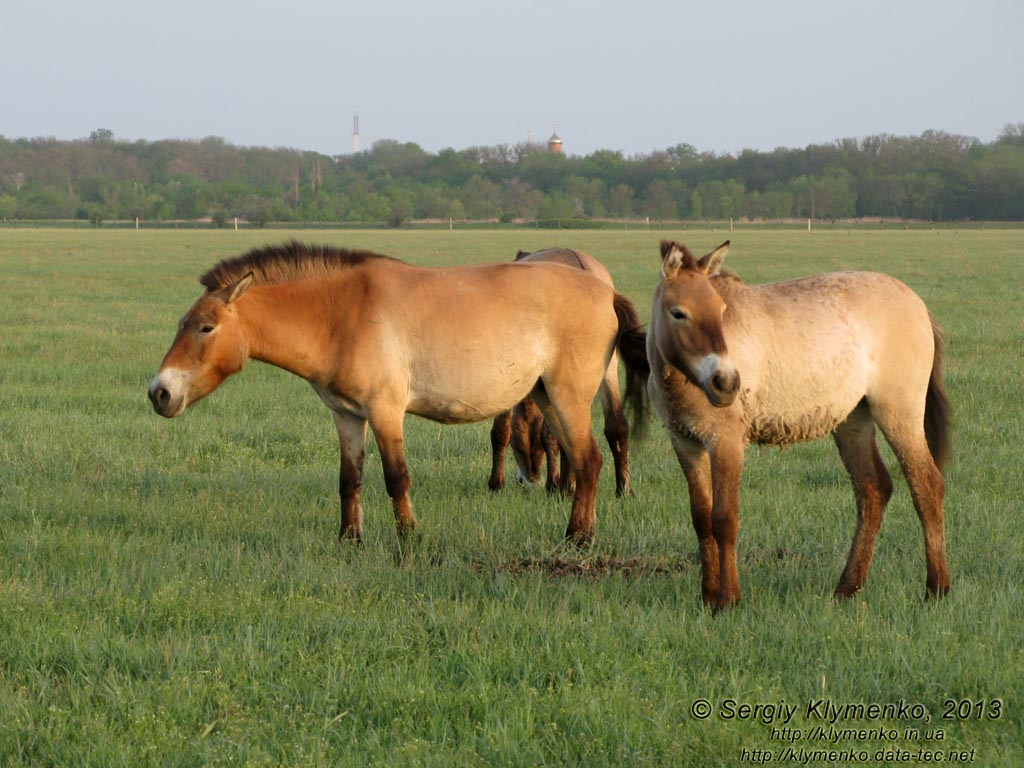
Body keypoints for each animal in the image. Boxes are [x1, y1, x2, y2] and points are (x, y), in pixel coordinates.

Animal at [483, 249, 643, 495]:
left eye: (520, 446)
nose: (529, 480)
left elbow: (502, 430)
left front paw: (496, 483)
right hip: (607, 371)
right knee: (616, 425)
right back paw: (621, 489)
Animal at [647, 240, 950, 614]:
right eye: (678, 313)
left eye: (720, 311)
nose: (727, 384)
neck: (681, 380)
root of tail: (918, 304)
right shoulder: (686, 443)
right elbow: (701, 519)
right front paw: (707, 596)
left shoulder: (726, 443)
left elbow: (724, 519)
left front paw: (728, 600)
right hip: (853, 421)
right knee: (873, 490)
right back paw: (846, 589)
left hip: (899, 413)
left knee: (926, 484)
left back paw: (936, 588)